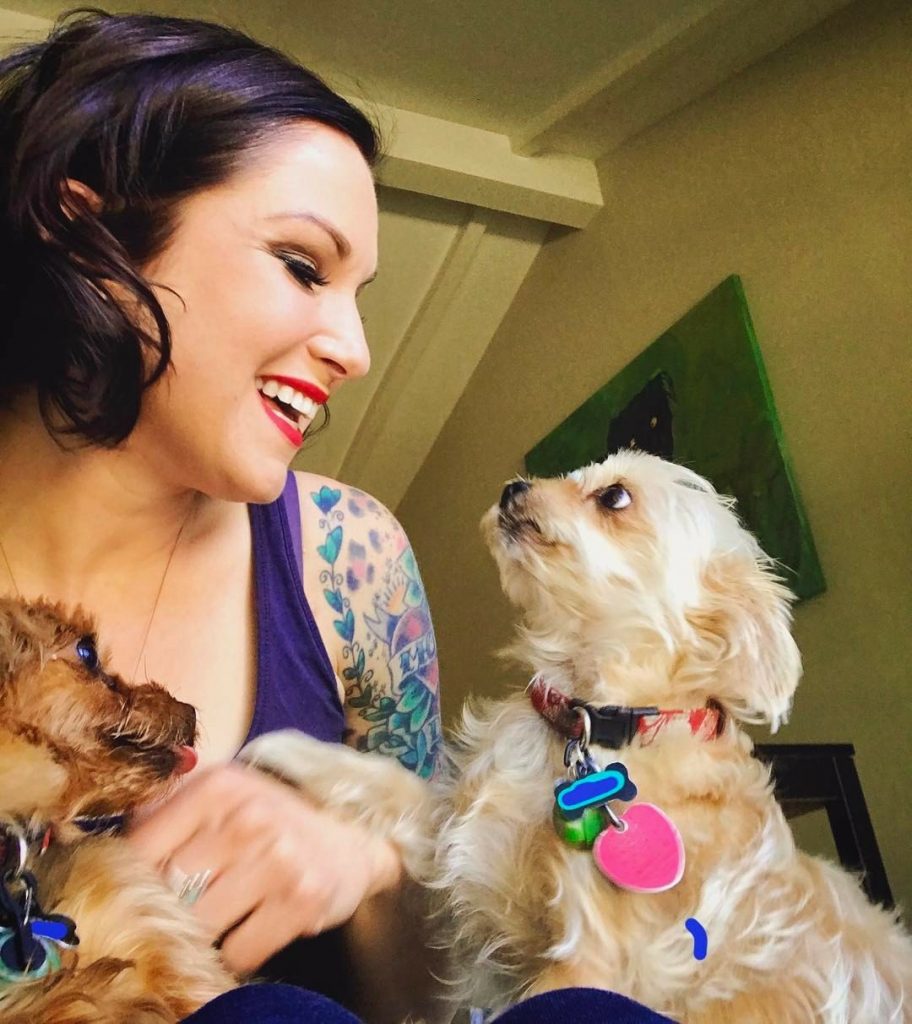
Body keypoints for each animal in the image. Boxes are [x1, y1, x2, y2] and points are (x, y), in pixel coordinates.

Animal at [244, 456, 912, 1024]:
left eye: (614, 496)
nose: (512, 487)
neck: (584, 720)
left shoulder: (588, 957)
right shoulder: (456, 829)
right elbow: (380, 780)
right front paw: (279, 750)